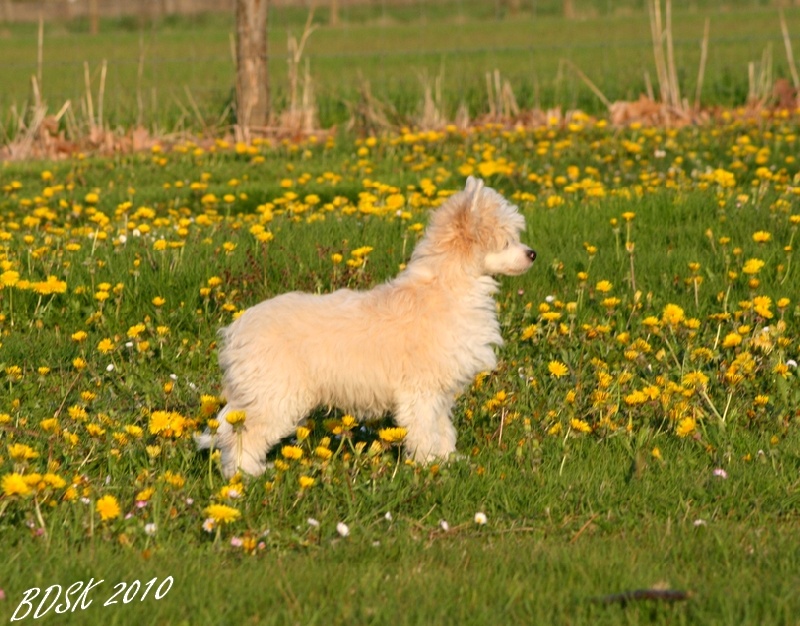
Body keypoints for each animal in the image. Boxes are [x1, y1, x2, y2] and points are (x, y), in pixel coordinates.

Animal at [195, 177, 536, 478]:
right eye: (507, 240)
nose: (533, 254)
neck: (447, 287)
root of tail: (236, 331)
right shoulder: (422, 391)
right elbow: (426, 429)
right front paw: (429, 464)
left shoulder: (438, 392)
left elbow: (443, 428)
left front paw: (448, 459)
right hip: (274, 395)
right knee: (245, 434)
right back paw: (246, 474)